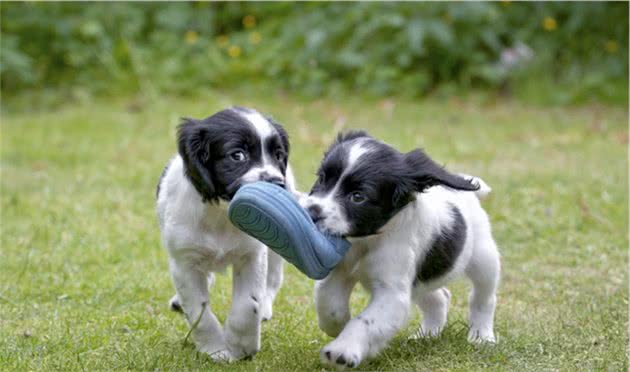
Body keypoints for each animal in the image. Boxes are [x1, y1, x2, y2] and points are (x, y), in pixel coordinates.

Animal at [157, 106, 298, 362]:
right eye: (237, 155)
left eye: (278, 155)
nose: (276, 183)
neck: (220, 214)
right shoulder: (184, 262)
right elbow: (199, 310)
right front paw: (215, 349)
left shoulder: (252, 254)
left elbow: (247, 305)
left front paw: (242, 346)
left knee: (273, 278)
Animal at [298, 132, 502, 370]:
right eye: (322, 178)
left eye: (358, 197)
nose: (310, 212)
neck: (366, 240)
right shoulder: (340, 271)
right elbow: (329, 304)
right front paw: (338, 326)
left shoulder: (392, 292)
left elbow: (365, 321)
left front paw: (344, 350)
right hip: (420, 280)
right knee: (439, 297)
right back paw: (426, 335)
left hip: (484, 259)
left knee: (483, 297)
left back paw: (481, 336)